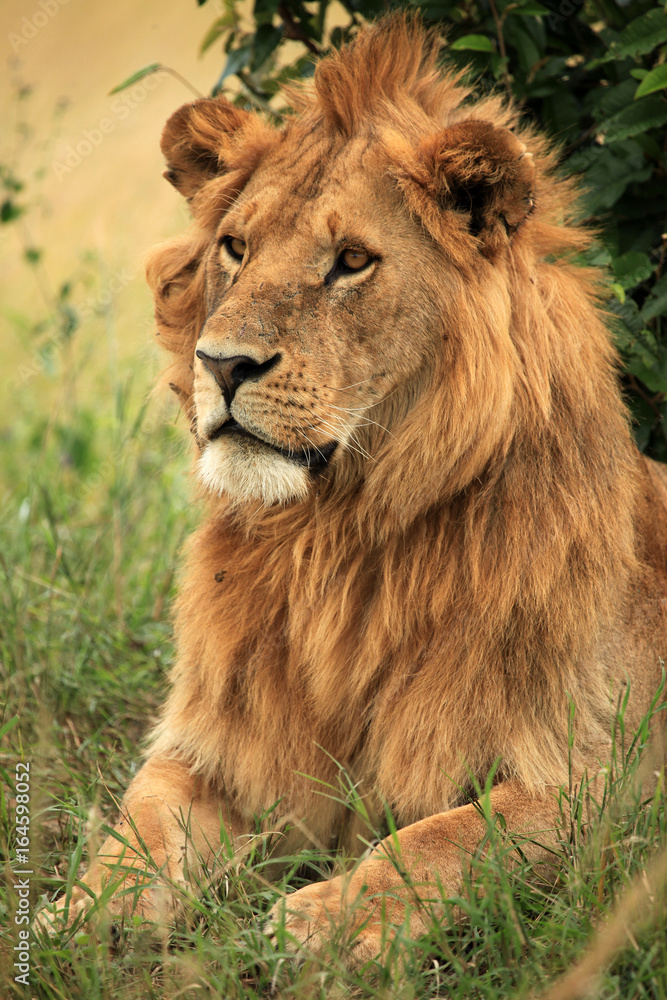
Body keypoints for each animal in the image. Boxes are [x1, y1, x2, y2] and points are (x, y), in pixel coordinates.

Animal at [40, 14, 667, 966]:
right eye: (235, 248)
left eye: (351, 261)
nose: (221, 364)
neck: (335, 538)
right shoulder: (214, 749)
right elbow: (137, 829)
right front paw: (76, 916)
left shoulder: (597, 783)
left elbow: (441, 841)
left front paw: (319, 922)